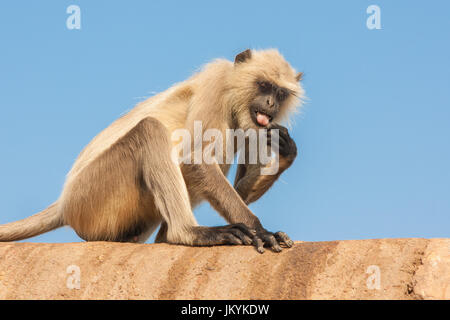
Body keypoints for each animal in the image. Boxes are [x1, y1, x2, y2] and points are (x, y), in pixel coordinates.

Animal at [0, 48, 306, 254]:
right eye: (263, 85)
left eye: (280, 93)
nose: (270, 103)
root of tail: (64, 202)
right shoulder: (216, 84)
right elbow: (195, 160)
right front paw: (260, 230)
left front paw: (285, 153)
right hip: (92, 194)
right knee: (150, 130)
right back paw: (186, 234)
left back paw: (165, 239)